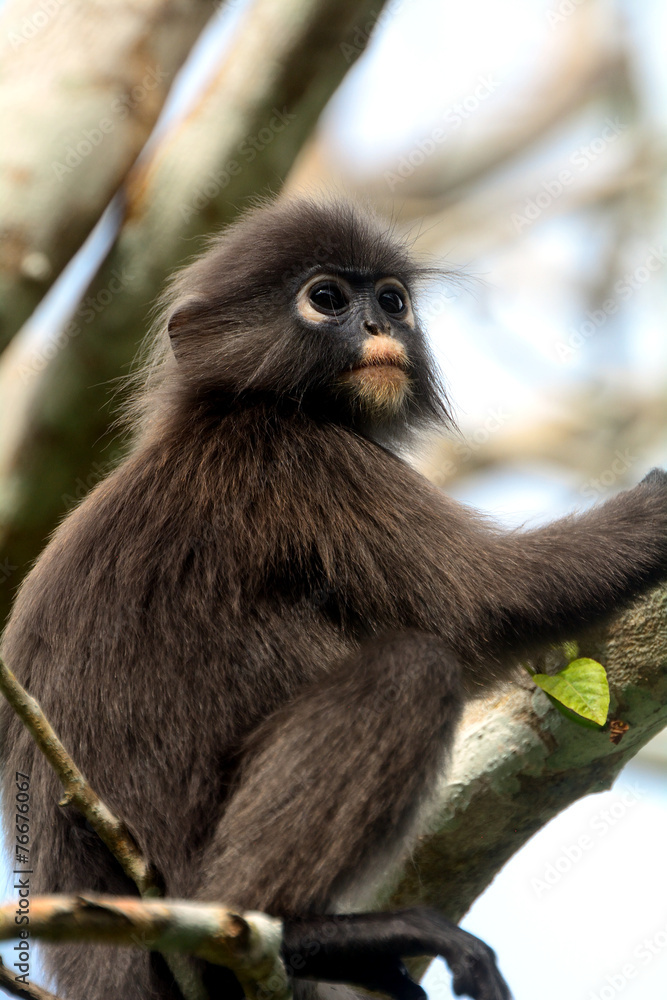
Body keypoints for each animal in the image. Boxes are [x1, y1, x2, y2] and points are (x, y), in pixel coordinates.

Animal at [2, 196, 667, 1000]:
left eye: (392, 300)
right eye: (326, 298)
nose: (381, 327)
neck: (236, 407)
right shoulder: (310, 460)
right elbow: (492, 600)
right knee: (410, 669)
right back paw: (297, 930)